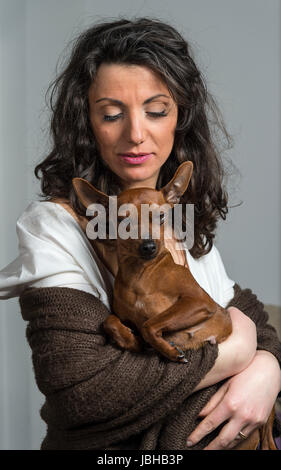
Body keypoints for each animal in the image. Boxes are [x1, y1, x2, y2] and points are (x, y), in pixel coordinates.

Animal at [72, 162, 276, 452]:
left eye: (160, 217)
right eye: (123, 221)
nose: (148, 246)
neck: (142, 274)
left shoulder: (199, 302)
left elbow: (150, 324)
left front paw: (168, 350)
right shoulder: (123, 316)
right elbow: (111, 321)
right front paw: (131, 340)